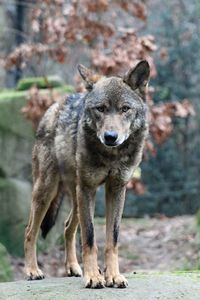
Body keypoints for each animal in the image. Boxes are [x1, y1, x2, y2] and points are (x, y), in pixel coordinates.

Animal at [24, 60, 150, 288]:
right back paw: (32, 271)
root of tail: (55, 104)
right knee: (30, 231)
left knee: (67, 227)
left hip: (76, 197)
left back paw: (73, 268)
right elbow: (90, 238)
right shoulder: (88, 188)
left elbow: (112, 239)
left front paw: (113, 276)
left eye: (125, 109)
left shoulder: (116, 189)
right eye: (100, 109)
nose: (110, 137)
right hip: (48, 191)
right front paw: (93, 276)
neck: (111, 155)